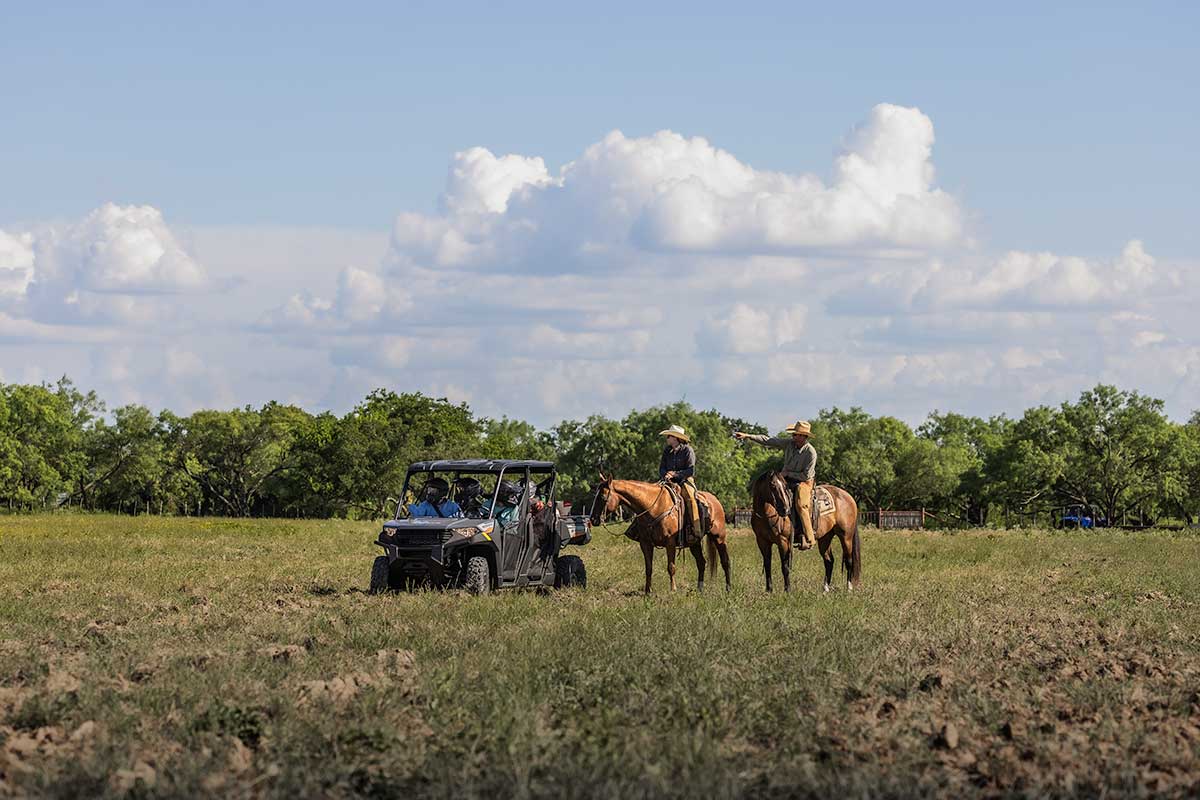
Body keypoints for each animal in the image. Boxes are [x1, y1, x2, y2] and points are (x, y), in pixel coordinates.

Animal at [588, 474, 729, 594]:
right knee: (701, 562)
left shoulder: (670, 543)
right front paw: (647, 591)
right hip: (694, 543)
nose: (593, 519)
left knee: (725, 561)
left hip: (719, 537)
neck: (654, 507)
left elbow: (671, 567)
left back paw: (728, 588)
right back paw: (700, 589)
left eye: (602, 497)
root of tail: (715, 501)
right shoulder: (645, 543)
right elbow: (648, 568)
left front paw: (673, 589)